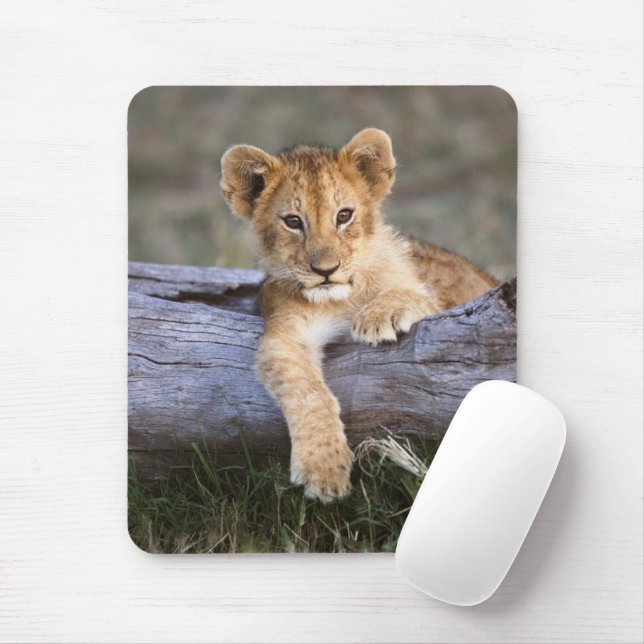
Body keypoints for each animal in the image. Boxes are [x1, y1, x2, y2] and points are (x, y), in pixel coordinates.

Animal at [221, 128, 496, 502]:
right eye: (293, 222)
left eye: (344, 216)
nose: (326, 270)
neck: (340, 299)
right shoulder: (284, 335)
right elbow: (308, 392)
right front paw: (323, 469)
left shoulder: (440, 306)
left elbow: (411, 294)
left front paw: (379, 316)